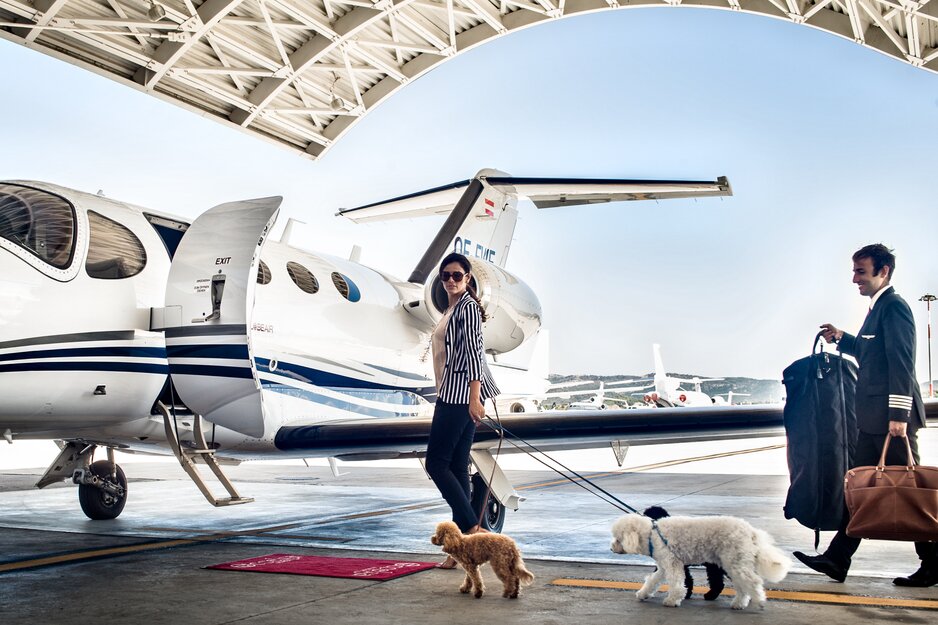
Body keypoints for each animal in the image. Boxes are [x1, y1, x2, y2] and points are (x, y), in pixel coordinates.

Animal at [608, 512, 788, 608]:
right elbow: (652, 580)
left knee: (752, 582)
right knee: (742, 586)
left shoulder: (672, 563)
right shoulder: (664, 566)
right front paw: (643, 594)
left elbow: (676, 583)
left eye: (617, 538)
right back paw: (739, 603)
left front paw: (673, 600)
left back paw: (759, 601)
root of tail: (751, 531)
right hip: (733, 563)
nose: (611, 548)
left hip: (734, 562)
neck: (652, 535)